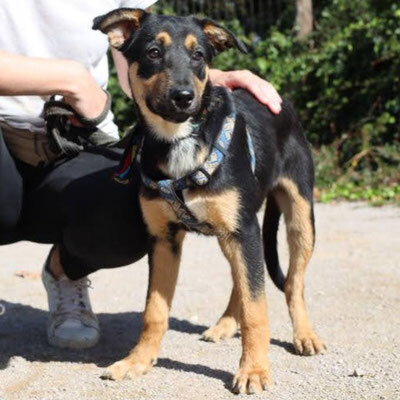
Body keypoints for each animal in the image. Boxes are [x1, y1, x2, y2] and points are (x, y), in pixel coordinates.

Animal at [94, 7, 324, 396]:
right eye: (153, 52)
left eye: (199, 55)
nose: (184, 96)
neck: (180, 140)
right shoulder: (163, 239)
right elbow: (154, 311)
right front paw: (137, 361)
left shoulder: (245, 230)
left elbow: (257, 306)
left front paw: (254, 370)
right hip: (229, 233)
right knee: (239, 279)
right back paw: (226, 324)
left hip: (298, 216)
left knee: (293, 281)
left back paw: (304, 335)